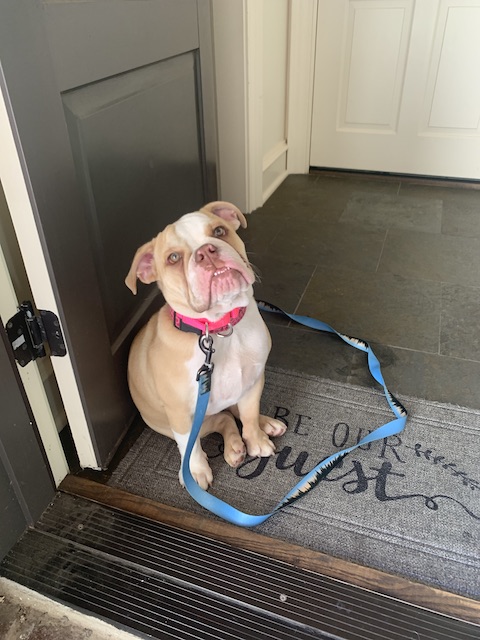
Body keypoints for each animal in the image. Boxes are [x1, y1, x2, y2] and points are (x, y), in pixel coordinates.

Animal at [125, 201, 286, 490]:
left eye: (219, 231)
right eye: (173, 258)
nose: (206, 252)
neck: (221, 330)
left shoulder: (253, 381)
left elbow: (248, 413)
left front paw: (256, 441)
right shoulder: (180, 413)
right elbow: (191, 447)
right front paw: (195, 471)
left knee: (235, 413)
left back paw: (263, 426)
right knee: (222, 419)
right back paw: (234, 447)